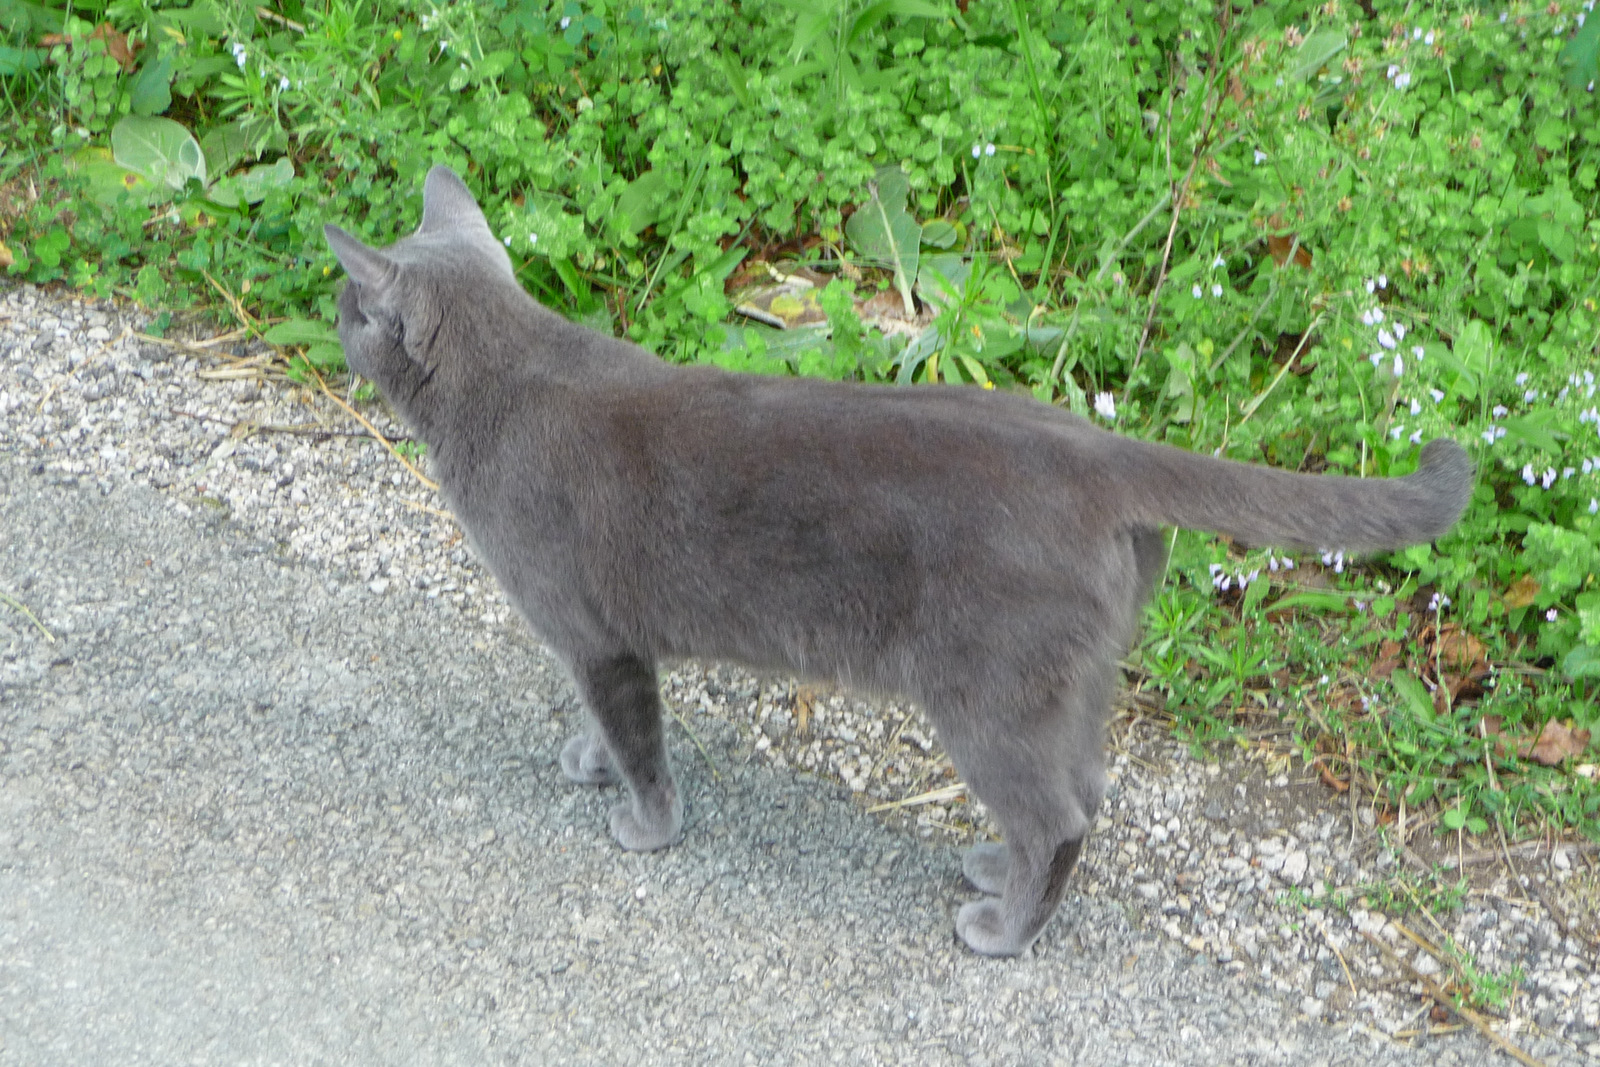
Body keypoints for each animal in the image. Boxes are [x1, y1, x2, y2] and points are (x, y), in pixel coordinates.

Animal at [325, 166, 1472, 957]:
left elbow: (639, 737)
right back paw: (993, 867)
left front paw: (643, 823)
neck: (505, 377)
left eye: (350, 307)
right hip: (1068, 681)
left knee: (1058, 813)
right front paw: (586, 758)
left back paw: (1003, 929)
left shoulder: (596, 635)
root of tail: (1095, 448)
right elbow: (605, 720)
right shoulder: (601, 639)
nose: (333, 317)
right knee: (1084, 789)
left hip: (989, 691)